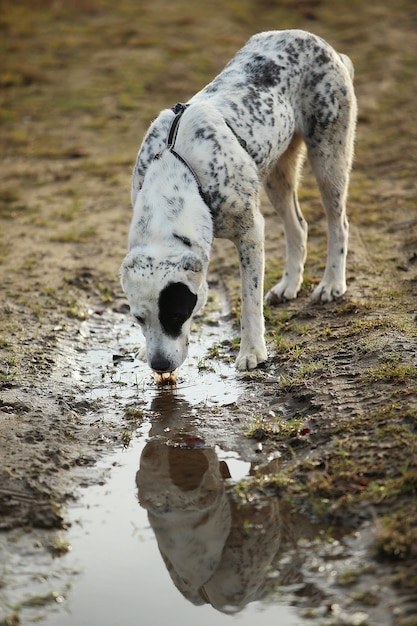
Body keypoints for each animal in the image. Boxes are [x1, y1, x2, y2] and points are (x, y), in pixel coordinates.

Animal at [118, 28, 356, 370]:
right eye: (139, 318)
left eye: (176, 315)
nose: (159, 366)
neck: (180, 166)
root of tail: (315, 40)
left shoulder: (251, 232)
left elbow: (249, 298)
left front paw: (252, 351)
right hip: (276, 176)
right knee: (298, 226)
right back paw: (289, 285)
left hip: (329, 157)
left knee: (339, 222)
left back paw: (332, 283)